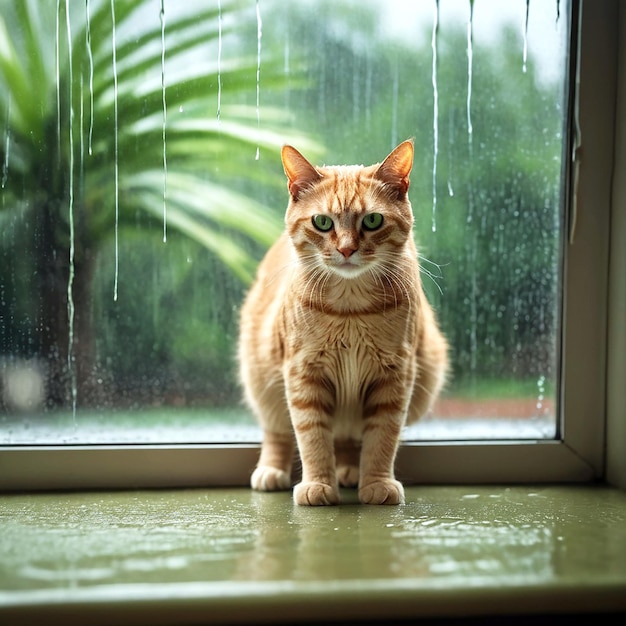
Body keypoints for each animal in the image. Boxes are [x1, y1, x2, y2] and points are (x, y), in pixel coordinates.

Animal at [236, 139, 446, 504]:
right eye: (322, 222)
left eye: (373, 220)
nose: (347, 250)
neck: (351, 309)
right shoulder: (303, 374)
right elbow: (312, 437)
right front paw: (318, 484)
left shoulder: (395, 376)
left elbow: (382, 438)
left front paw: (376, 483)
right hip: (261, 378)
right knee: (277, 430)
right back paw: (272, 471)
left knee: (349, 439)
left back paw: (349, 470)